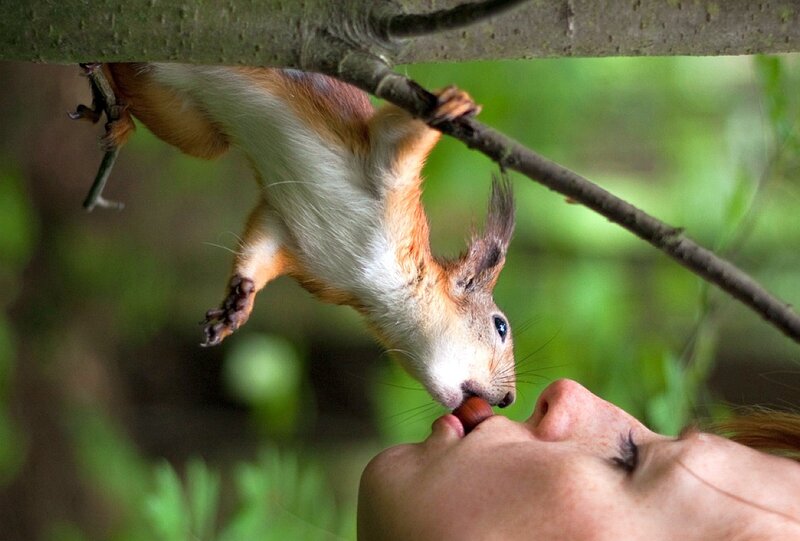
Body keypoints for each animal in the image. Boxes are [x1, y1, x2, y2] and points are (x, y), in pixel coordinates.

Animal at [91, 63, 516, 409]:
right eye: (501, 326)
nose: (509, 400)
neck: (377, 282)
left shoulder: (297, 240)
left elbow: (261, 248)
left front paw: (239, 302)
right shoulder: (388, 175)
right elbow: (401, 134)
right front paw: (453, 104)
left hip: (189, 126)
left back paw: (116, 113)